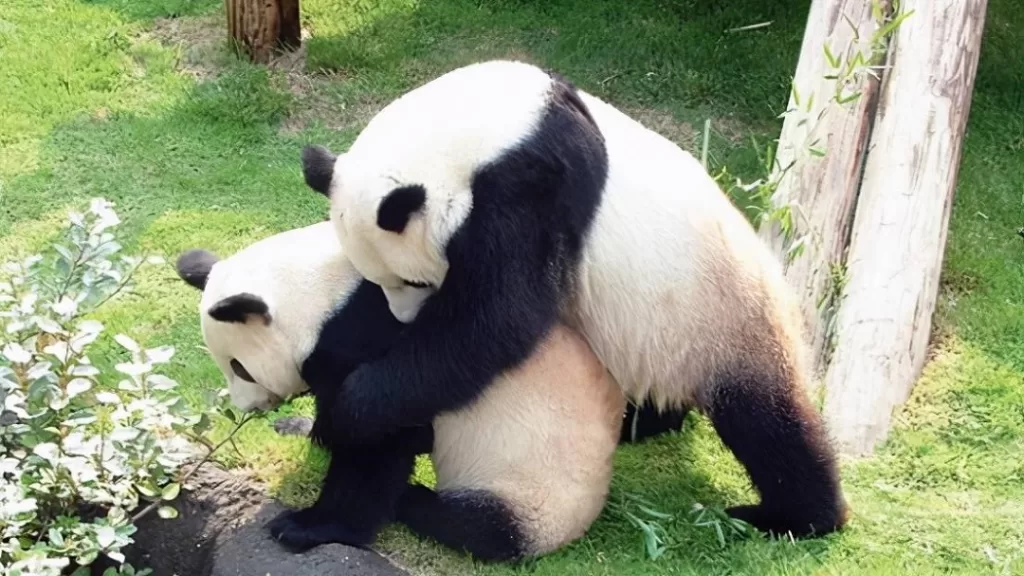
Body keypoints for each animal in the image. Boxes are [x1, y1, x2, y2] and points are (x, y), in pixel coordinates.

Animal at [174, 221, 628, 561]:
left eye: (239, 367)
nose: (246, 407)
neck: (321, 293)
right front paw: (310, 430)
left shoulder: (365, 338)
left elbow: (379, 441)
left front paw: (308, 527)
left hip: (528, 484)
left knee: (482, 526)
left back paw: (416, 501)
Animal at [300, 59, 848, 538]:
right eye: (381, 281)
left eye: (413, 282)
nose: (405, 320)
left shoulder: (528, 188)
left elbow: (495, 321)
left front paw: (351, 409)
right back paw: (641, 423)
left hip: (725, 318)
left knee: (768, 422)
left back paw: (798, 516)